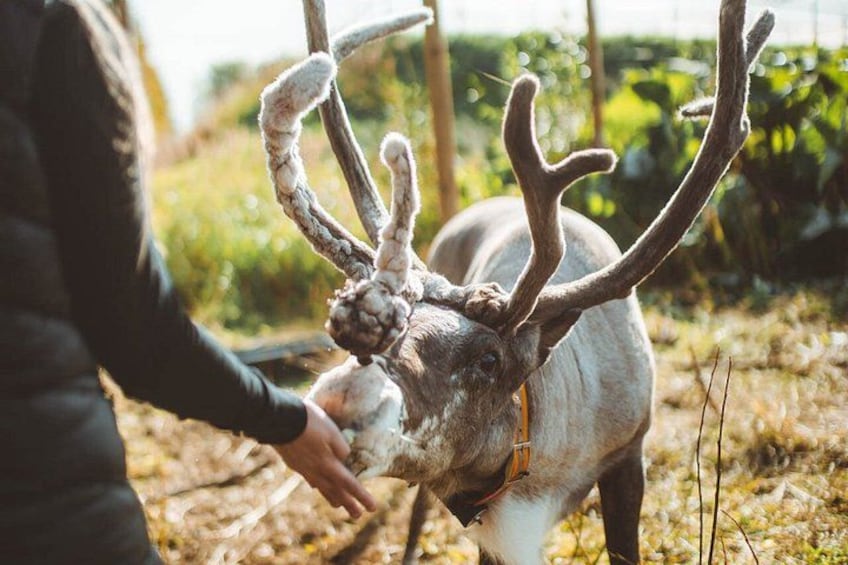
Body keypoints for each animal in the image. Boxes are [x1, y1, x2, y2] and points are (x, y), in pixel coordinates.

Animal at [257, 0, 774, 563]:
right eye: (398, 326)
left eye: (490, 359)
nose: (340, 403)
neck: (538, 481)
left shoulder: (628, 453)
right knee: (416, 510)